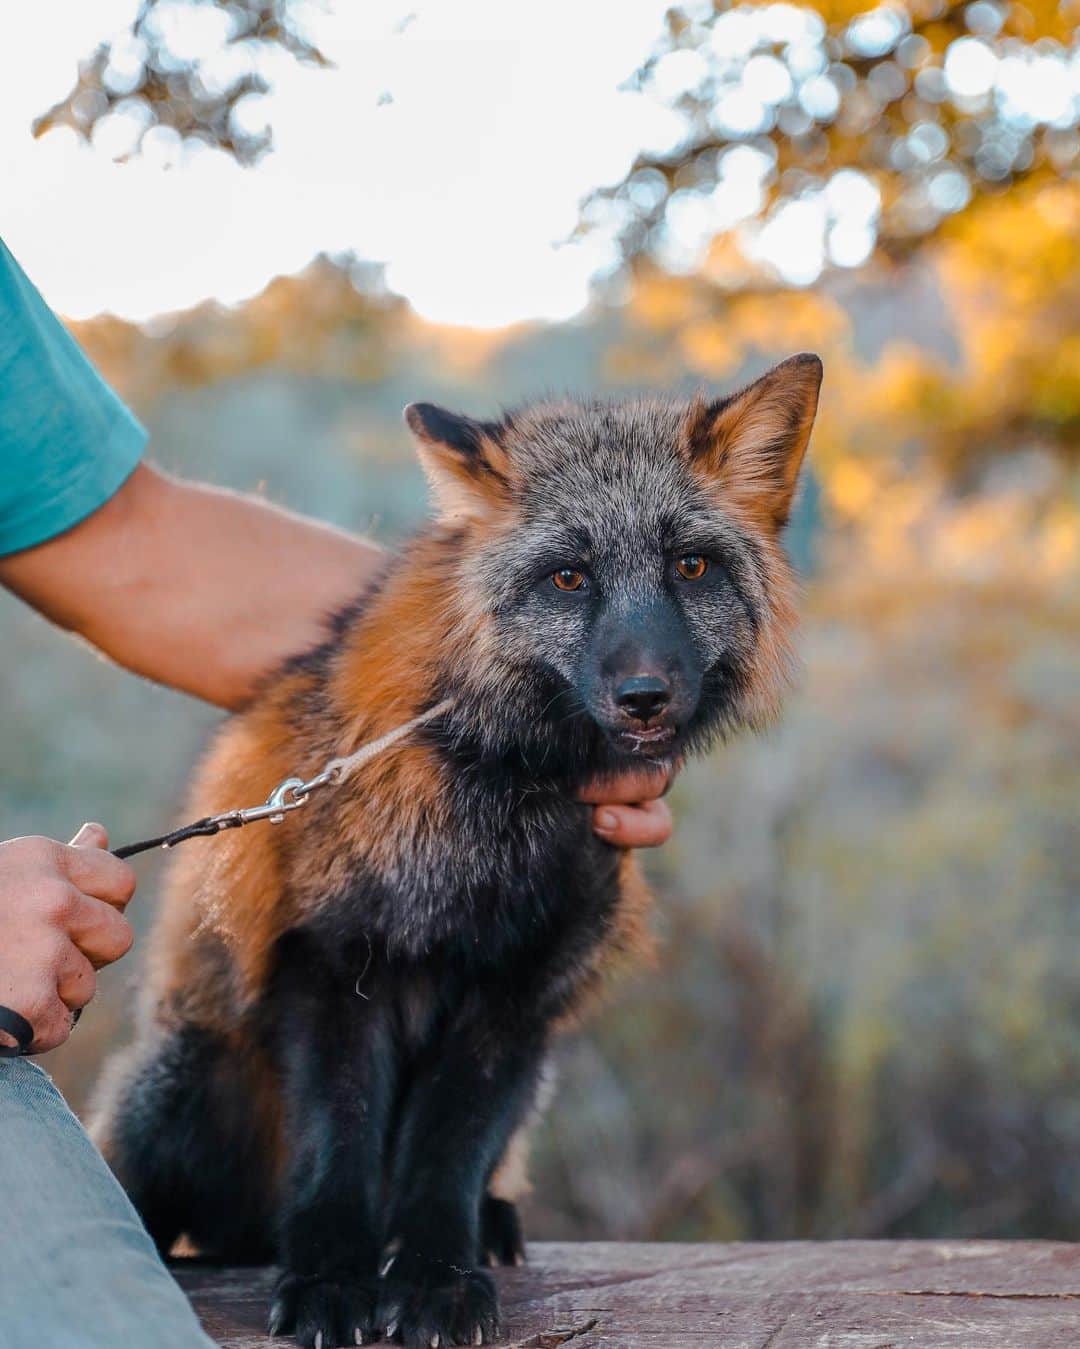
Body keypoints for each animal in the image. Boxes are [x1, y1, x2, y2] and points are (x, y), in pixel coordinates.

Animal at [91, 353, 822, 1349]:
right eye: (568, 578)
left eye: (691, 565)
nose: (644, 696)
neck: (499, 809)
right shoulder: (327, 968)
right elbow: (337, 1151)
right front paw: (331, 1278)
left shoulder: (516, 996)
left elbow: (444, 1158)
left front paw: (436, 1276)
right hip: (186, 1080)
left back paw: (493, 1223)